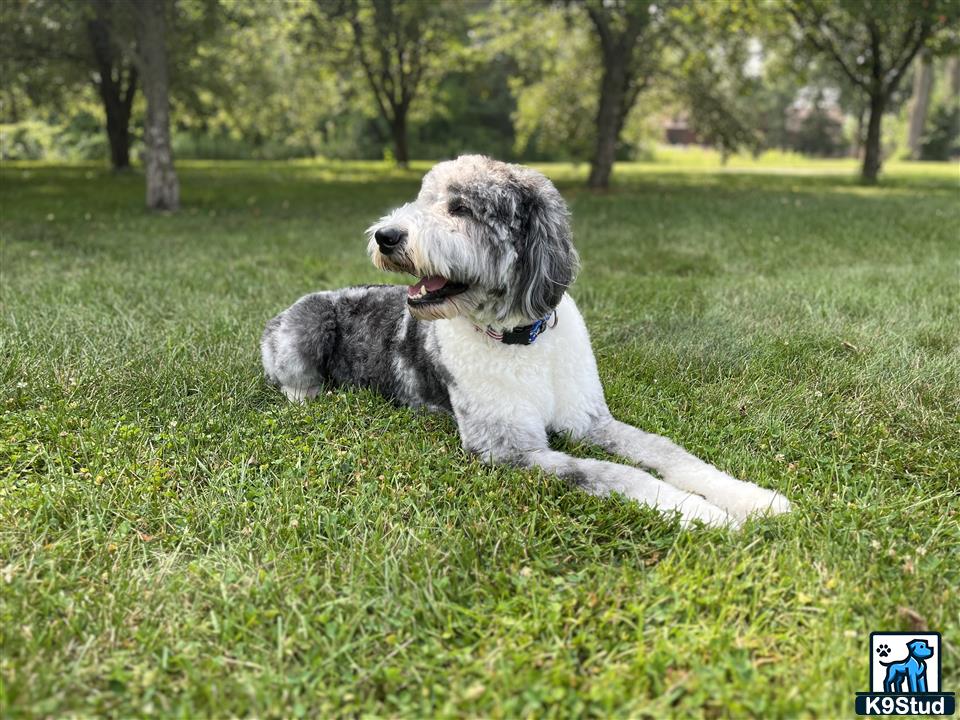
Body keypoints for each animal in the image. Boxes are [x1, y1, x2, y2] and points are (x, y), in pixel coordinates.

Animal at [260, 156, 788, 528]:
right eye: (422, 198)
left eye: (460, 207)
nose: (384, 236)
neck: (522, 341)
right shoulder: (508, 448)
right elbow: (616, 473)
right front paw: (702, 513)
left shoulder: (589, 420)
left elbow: (667, 452)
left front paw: (752, 499)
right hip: (305, 324)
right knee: (291, 378)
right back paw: (308, 395)